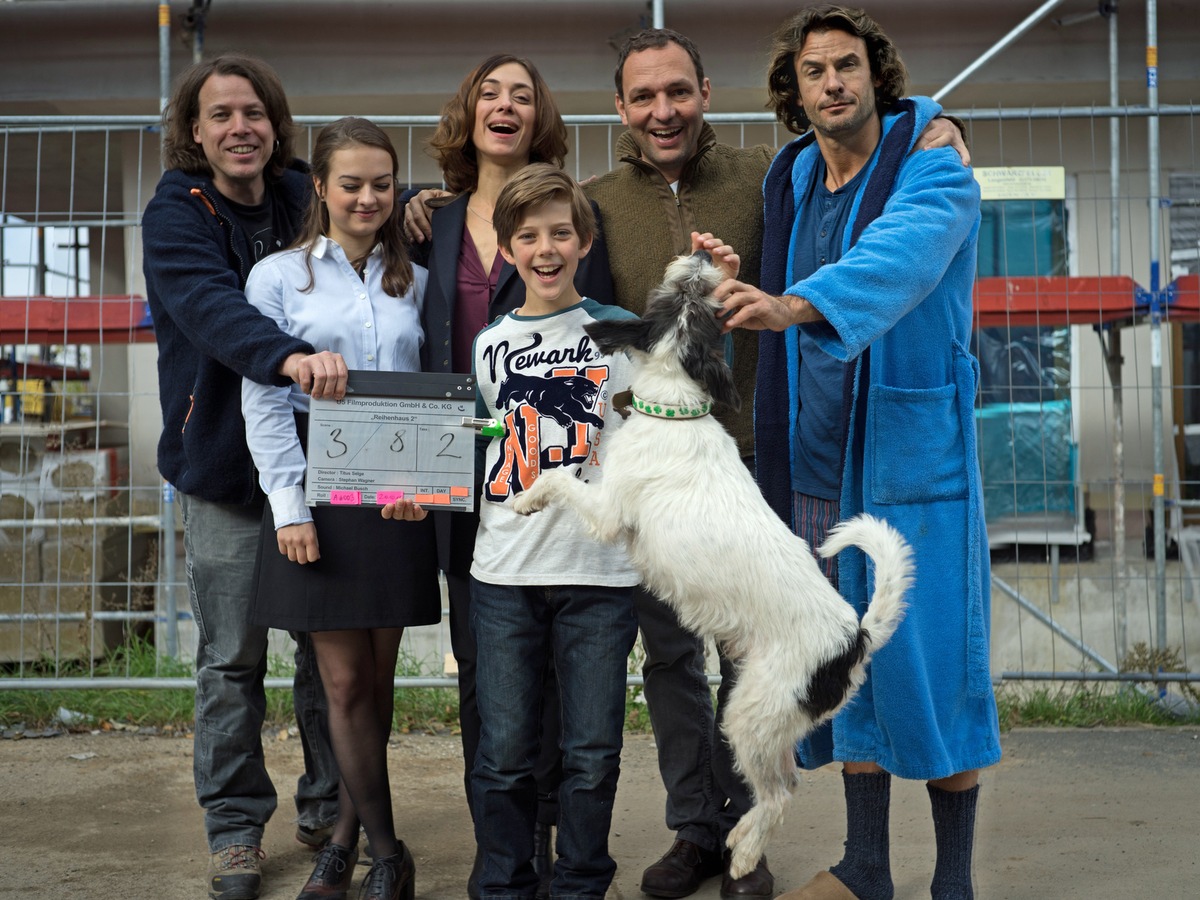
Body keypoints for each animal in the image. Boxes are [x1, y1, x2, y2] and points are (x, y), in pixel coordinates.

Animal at [511, 250, 912, 878]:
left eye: (685, 290)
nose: (703, 254)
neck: (674, 411)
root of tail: (856, 637)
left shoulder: (608, 513)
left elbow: (561, 482)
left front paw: (528, 498)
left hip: (749, 715)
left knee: (780, 793)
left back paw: (744, 852)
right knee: (783, 787)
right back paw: (742, 837)